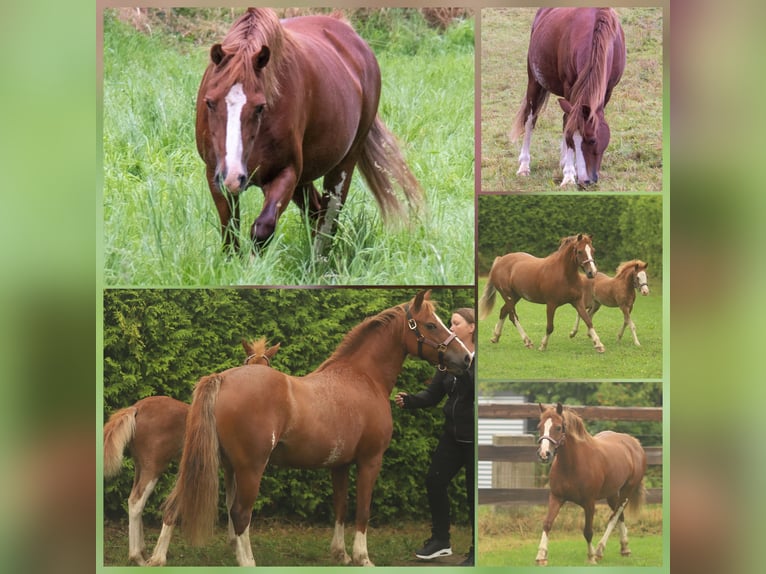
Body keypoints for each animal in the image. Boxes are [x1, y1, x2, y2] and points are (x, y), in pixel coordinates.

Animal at [103, 338, 281, 565]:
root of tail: (136, 409)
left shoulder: (230, 469)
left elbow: (230, 503)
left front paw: (234, 544)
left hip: (140, 466)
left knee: (133, 498)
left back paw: (141, 552)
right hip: (154, 467)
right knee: (136, 501)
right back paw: (138, 557)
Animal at [153, 290, 472, 567]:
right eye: (431, 324)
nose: (466, 358)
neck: (363, 377)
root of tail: (221, 378)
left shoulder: (340, 464)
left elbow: (341, 507)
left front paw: (341, 554)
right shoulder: (370, 460)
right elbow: (363, 510)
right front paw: (362, 558)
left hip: (214, 462)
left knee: (179, 505)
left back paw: (157, 557)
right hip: (249, 468)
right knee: (240, 514)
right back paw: (247, 561)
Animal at [197, 8, 422, 254]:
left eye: (260, 107)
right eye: (210, 102)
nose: (233, 176)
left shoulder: (286, 173)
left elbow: (262, 228)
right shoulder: (215, 175)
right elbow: (230, 234)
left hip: (343, 165)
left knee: (327, 218)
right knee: (315, 211)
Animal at [510, 8, 626, 186]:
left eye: (593, 140)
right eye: (574, 140)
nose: (586, 181)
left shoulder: (607, 91)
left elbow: (568, 123)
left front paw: (570, 168)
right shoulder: (569, 88)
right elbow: (567, 126)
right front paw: (569, 176)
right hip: (534, 82)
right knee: (531, 119)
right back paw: (524, 165)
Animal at [536, 403, 647, 565]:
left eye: (558, 427)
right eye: (539, 426)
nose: (544, 454)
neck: (572, 464)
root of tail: (634, 443)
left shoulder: (589, 503)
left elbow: (588, 531)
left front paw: (591, 557)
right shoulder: (556, 497)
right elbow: (547, 523)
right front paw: (541, 556)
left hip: (627, 491)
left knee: (614, 517)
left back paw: (600, 550)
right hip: (612, 494)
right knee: (620, 517)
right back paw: (625, 548)